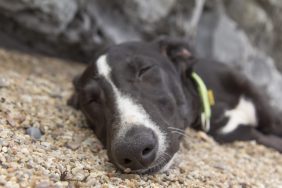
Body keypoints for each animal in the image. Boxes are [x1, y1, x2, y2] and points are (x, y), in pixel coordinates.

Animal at [67, 37, 282, 174]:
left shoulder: (271, 116)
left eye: (145, 70)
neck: (215, 104)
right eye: (91, 100)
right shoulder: (248, 135)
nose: (134, 150)